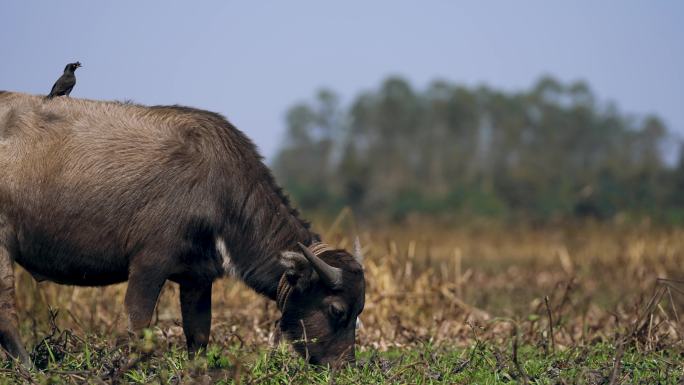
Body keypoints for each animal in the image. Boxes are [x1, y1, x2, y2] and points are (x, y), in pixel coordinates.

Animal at [0, 91, 366, 366]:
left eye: (359, 310)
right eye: (336, 309)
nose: (343, 366)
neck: (218, 189)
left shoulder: (197, 278)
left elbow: (199, 335)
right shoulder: (148, 265)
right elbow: (138, 325)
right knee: (6, 315)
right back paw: (28, 368)